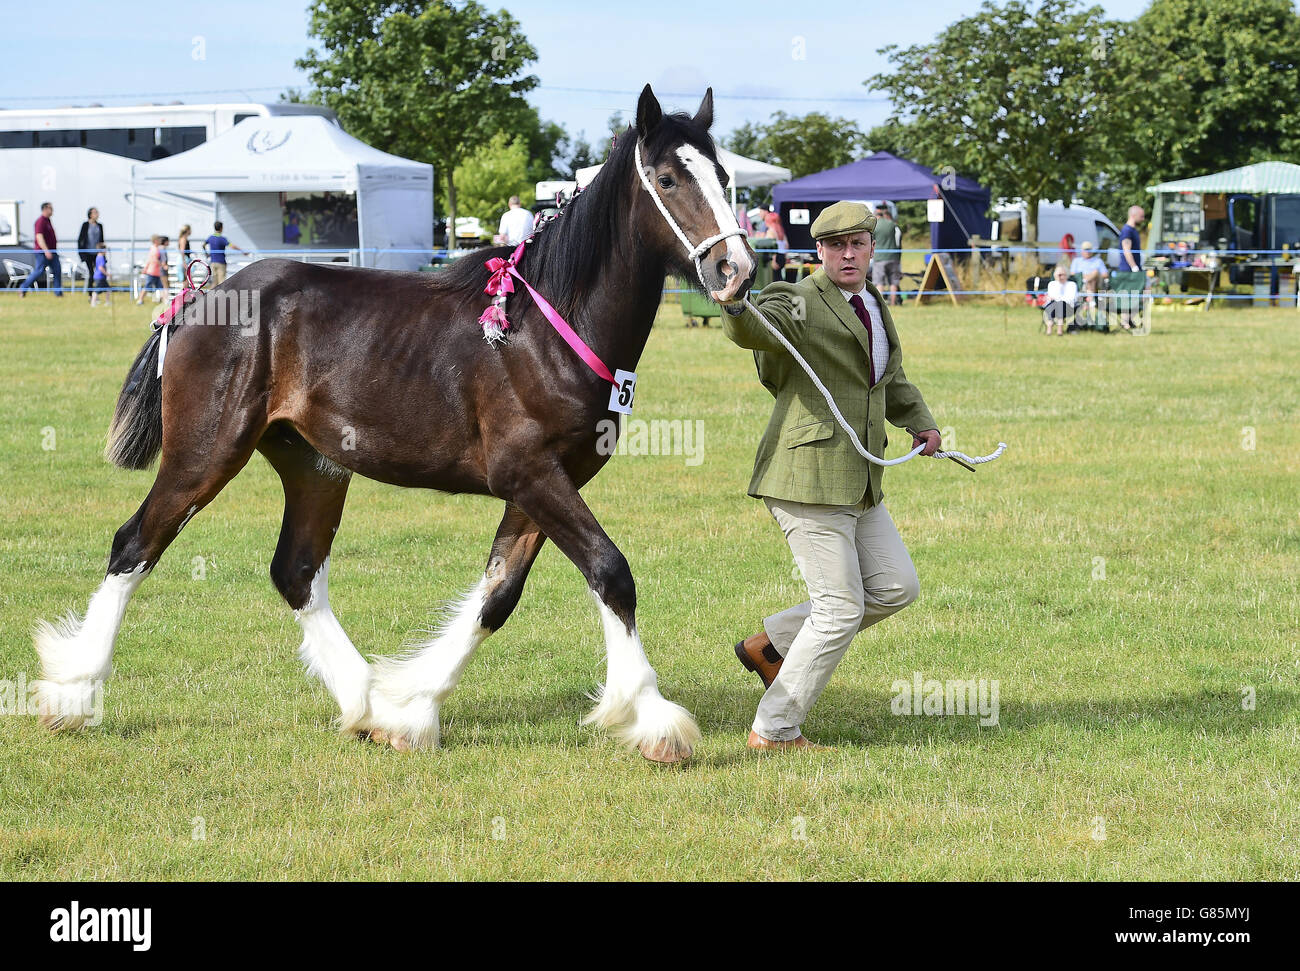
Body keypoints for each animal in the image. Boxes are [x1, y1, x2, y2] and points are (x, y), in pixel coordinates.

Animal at [35, 85, 759, 769]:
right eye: (668, 178)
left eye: (724, 175)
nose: (736, 271)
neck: (544, 329)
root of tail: (196, 298)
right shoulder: (530, 474)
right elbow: (611, 571)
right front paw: (655, 719)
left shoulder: (543, 485)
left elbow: (498, 594)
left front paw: (409, 710)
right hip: (204, 454)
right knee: (135, 545)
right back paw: (72, 693)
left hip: (314, 465)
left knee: (295, 570)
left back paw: (364, 701)